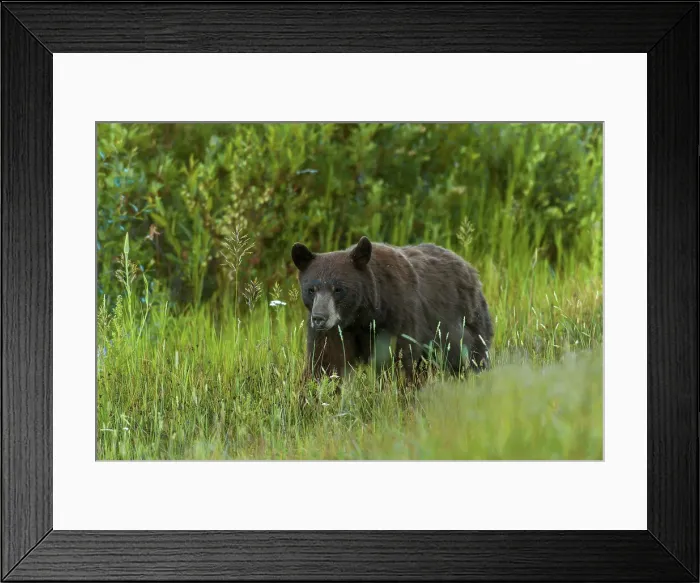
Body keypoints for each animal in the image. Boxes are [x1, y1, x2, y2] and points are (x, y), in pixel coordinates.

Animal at [291, 235, 494, 384]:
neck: (362, 316)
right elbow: (326, 363)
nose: (319, 317)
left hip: (465, 325)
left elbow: (398, 361)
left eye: (338, 289)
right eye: (311, 289)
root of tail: (469, 268)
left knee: (471, 359)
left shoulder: (397, 317)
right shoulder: (334, 332)